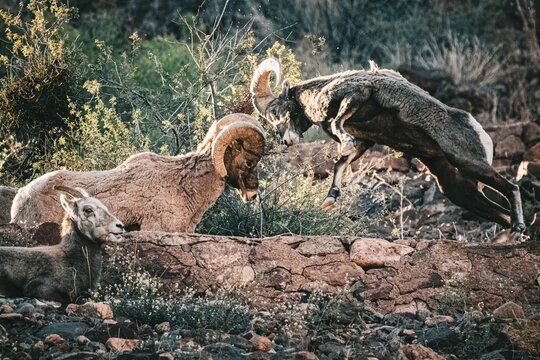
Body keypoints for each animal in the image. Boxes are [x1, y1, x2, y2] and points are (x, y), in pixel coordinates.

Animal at [251, 57, 524, 238]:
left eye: (276, 112)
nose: (286, 141)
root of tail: (480, 133)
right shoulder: (363, 142)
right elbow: (340, 163)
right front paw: (330, 199)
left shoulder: (356, 95)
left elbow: (339, 127)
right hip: (458, 189)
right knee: (501, 214)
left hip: (467, 162)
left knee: (512, 187)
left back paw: (519, 228)